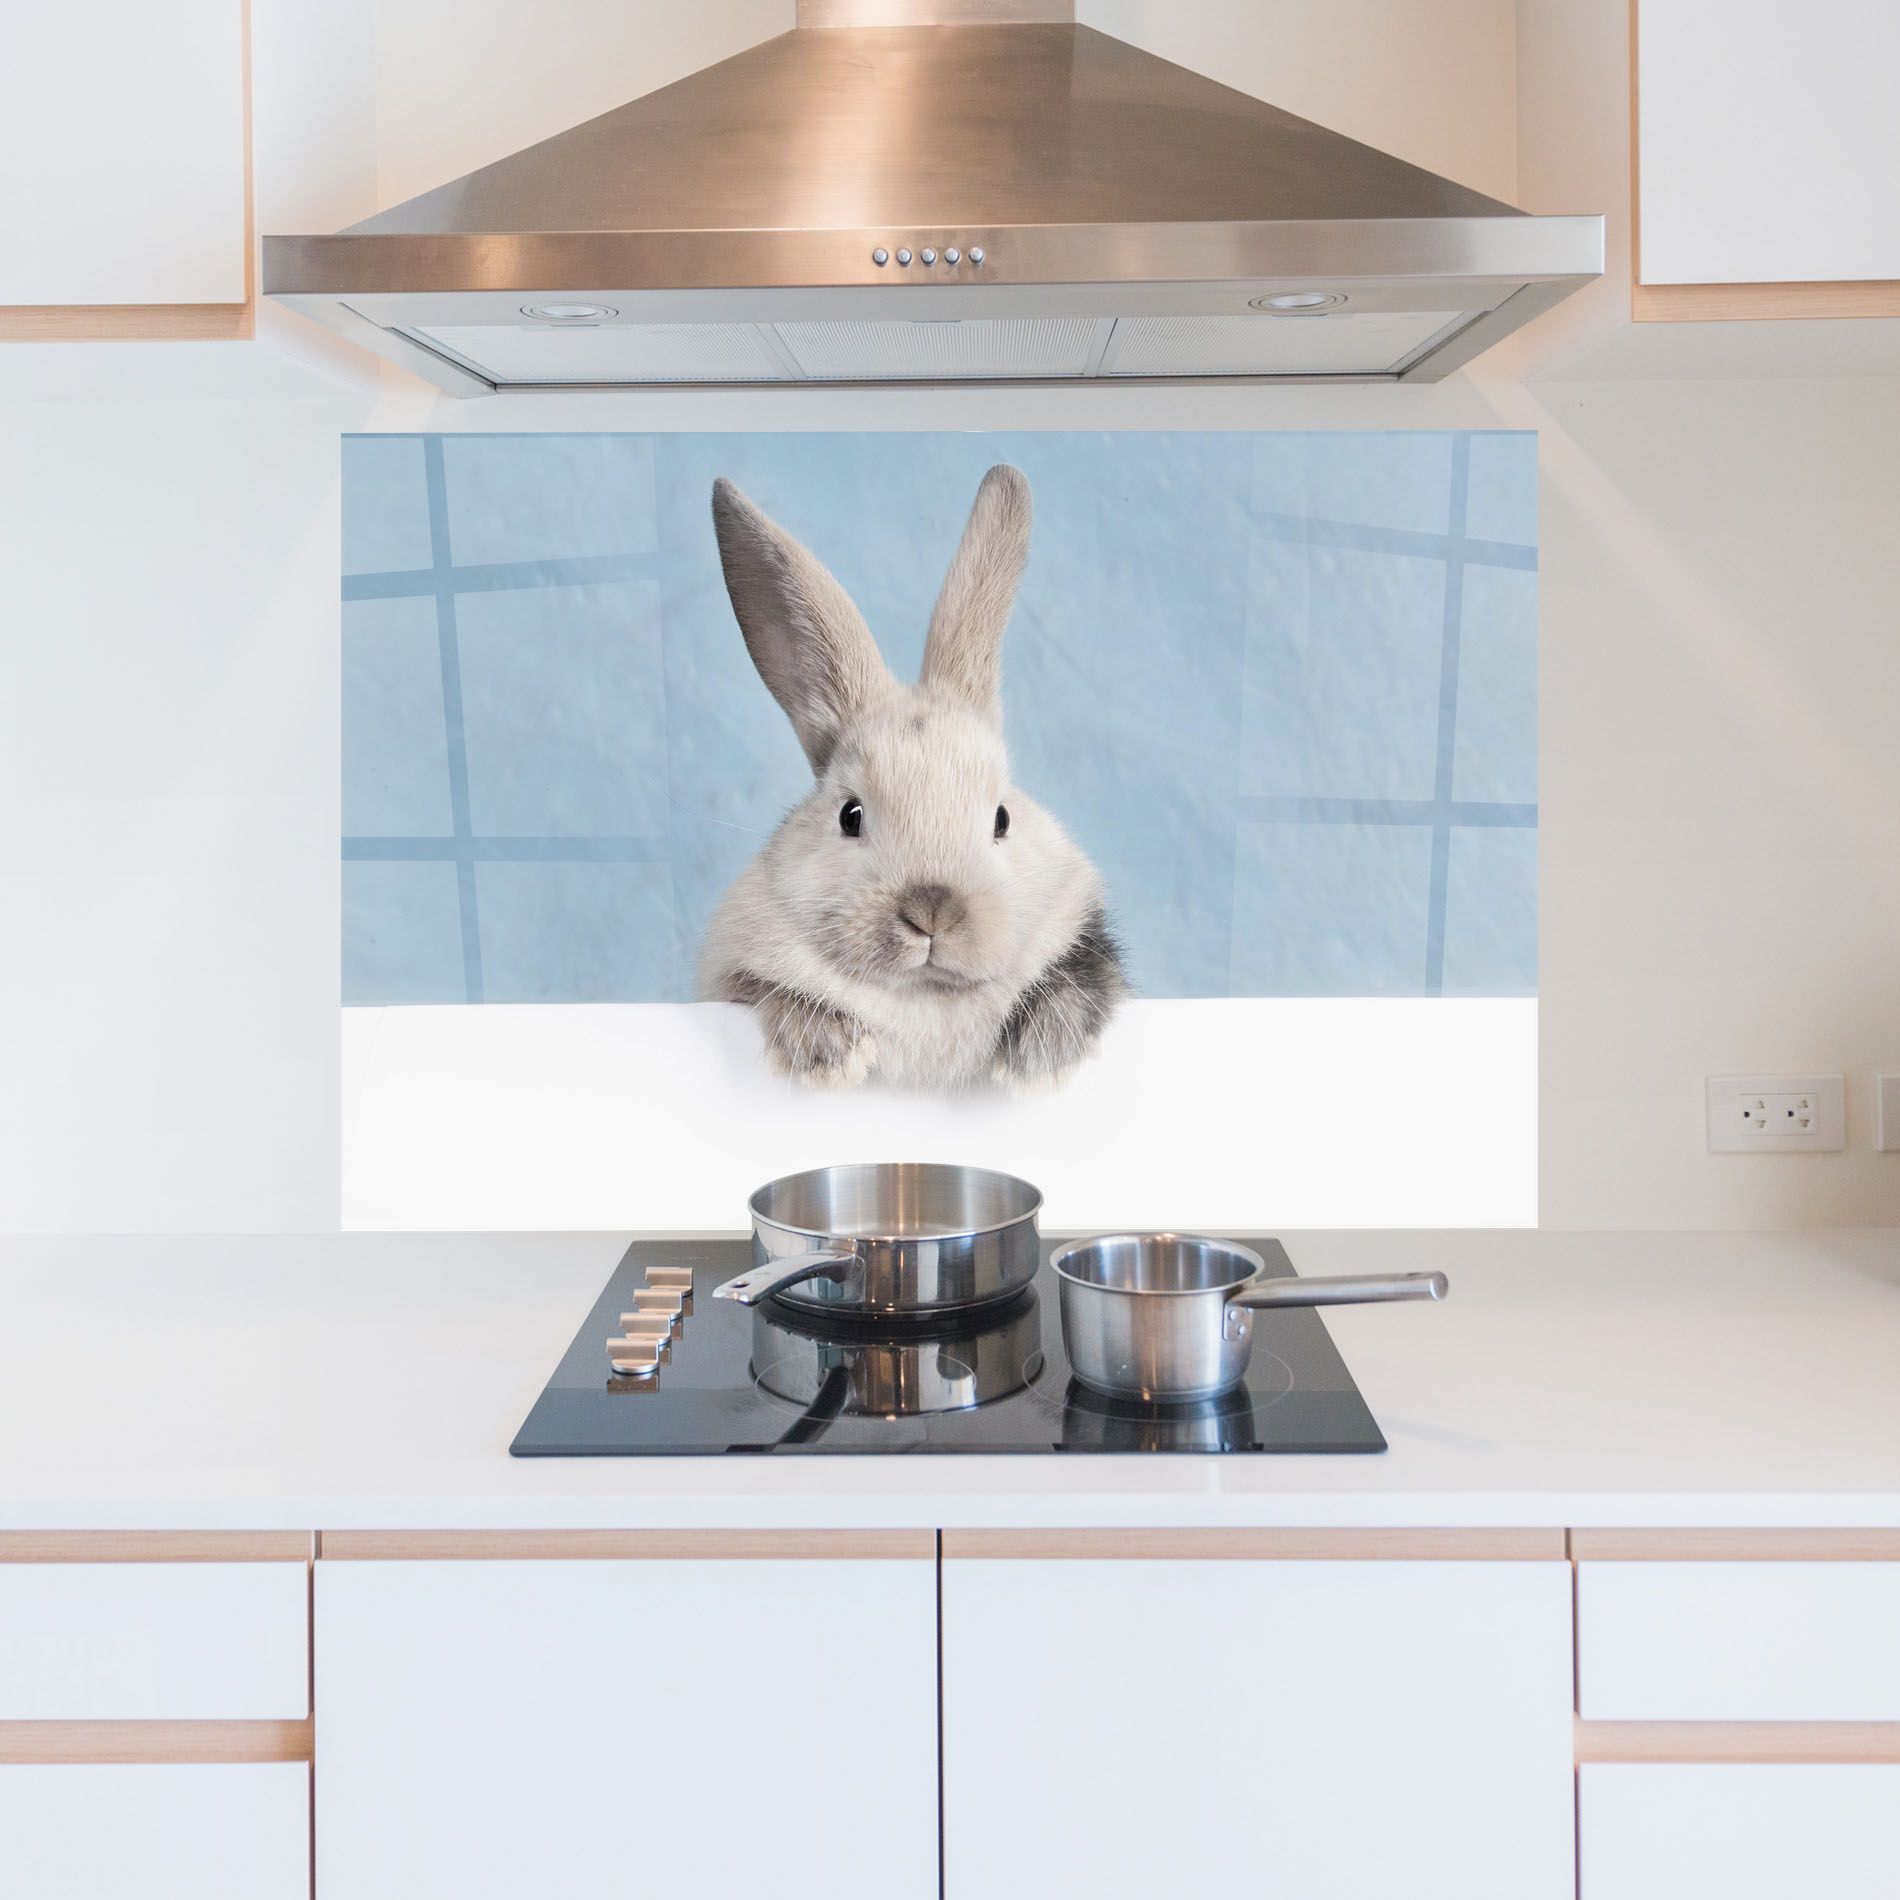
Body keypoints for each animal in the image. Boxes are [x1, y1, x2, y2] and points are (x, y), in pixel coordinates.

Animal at [699, 463, 1128, 1092]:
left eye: (1002, 818)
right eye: (850, 815)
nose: (933, 910)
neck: (925, 1000)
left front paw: (1037, 1058)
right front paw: (832, 1055)